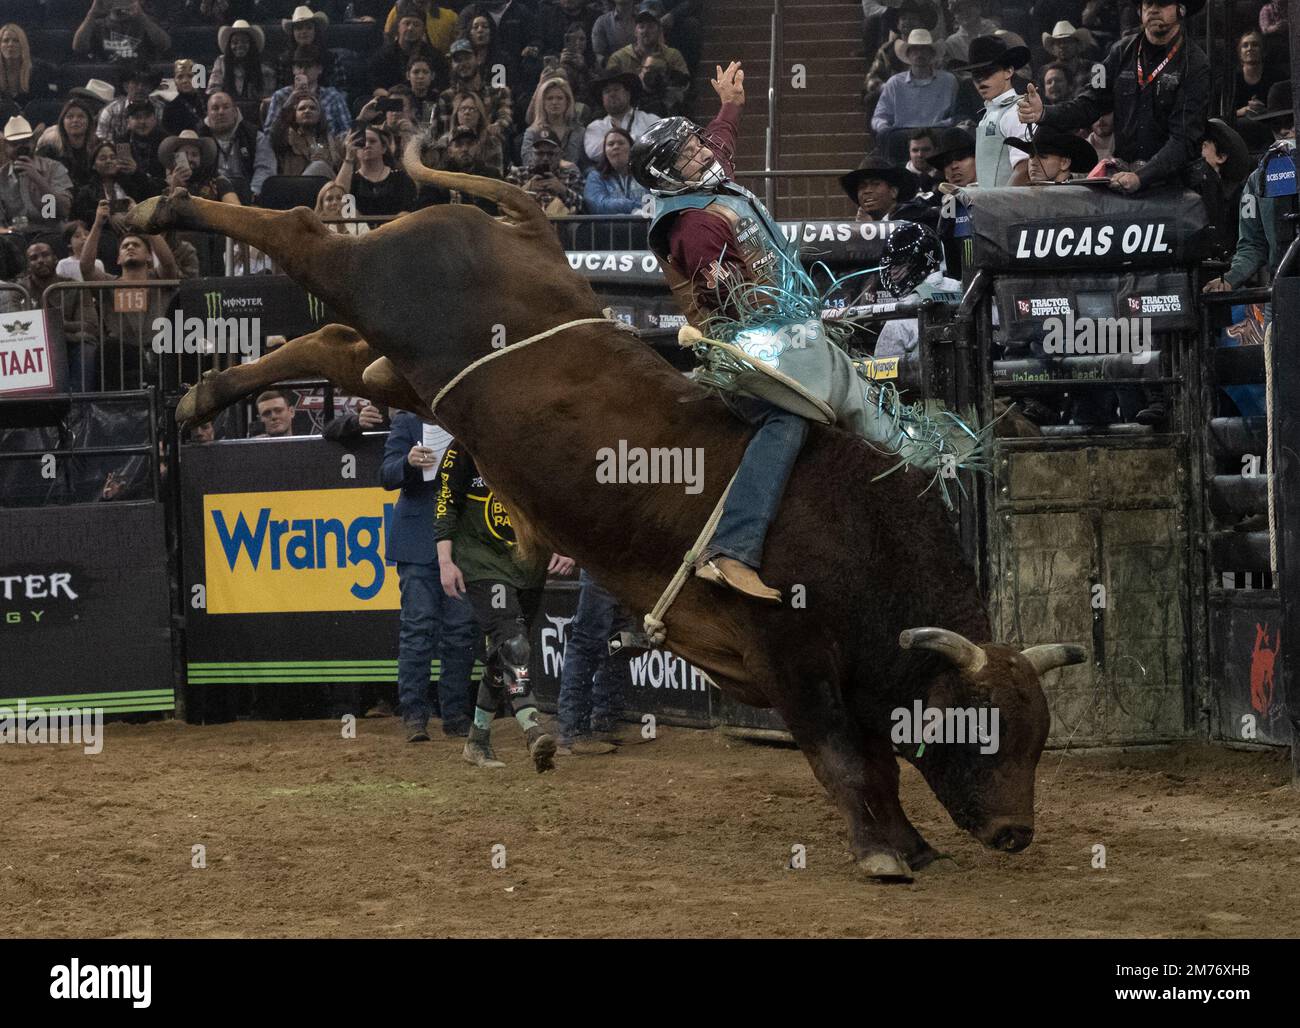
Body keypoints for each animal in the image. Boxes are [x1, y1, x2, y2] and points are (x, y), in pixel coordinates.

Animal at [128, 154, 1085, 882]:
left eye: (1041, 738)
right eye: (985, 731)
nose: (1017, 833)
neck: (862, 539)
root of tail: (526, 231)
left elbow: (878, 755)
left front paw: (911, 843)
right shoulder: (794, 658)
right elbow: (847, 757)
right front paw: (885, 851)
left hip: (412, 374)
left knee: (335, 349)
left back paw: (202, 394)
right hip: (375, 284)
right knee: (299, 235)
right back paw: (162, 206)